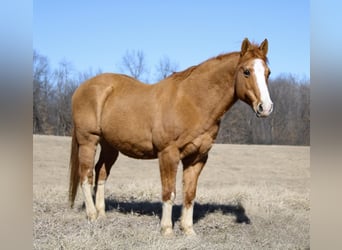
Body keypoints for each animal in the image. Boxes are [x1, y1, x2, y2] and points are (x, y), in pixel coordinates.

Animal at [69, 38, 272, 235]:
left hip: (110, 146)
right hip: (88, 141)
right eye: (246, 71)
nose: (266, 107)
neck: (192, 102)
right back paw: (92, 215)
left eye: (268, 73)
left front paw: (188, 230)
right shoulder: (168, 154)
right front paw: (167, 229)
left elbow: (189, 194)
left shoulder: (197, 157)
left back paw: (102, 214)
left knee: (101, 173)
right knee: (86, 175)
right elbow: (169, 192)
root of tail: (81, 88)